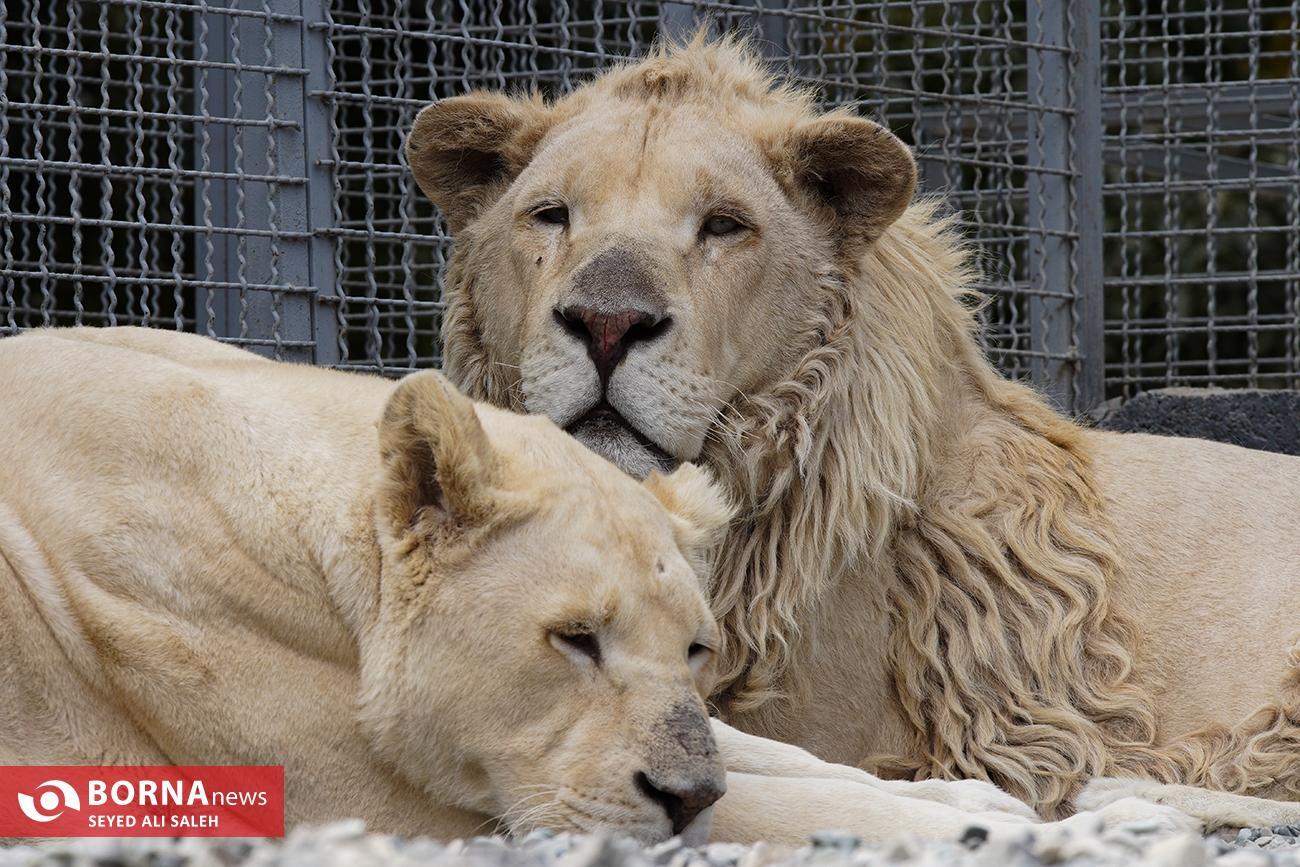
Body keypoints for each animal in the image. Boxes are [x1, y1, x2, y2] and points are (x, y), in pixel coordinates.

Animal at [7, 327, 1196, 847]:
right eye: (571, 637)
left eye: (696, 648)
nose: (678, 793)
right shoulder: (377, 798)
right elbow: (761, 801)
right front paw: (999, 830)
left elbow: (774, 755)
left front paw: (983, 799)